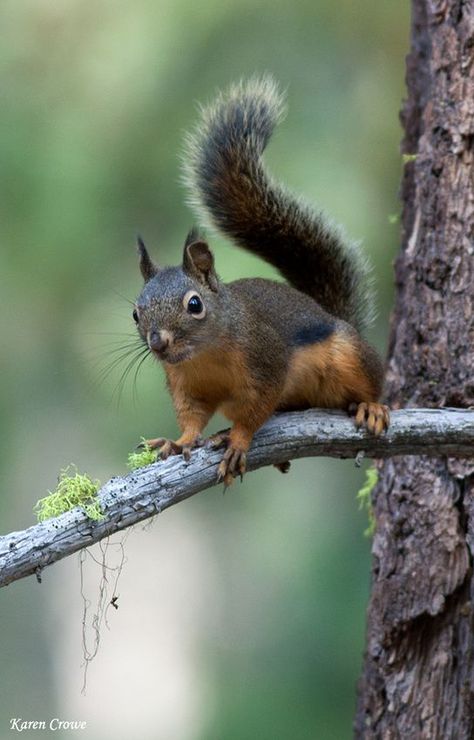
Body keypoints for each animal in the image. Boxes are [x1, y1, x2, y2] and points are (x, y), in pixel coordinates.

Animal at [132, 78, 388, 488]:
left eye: (194, 304)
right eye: (136, 314)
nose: (158, 342)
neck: (205, 356)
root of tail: (334, 315)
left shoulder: (267, 362)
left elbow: (255, 410)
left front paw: (238, 440)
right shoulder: (186, 386)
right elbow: (192, 416)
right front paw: (181, 441)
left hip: (350, 355)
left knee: (373, 384)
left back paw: (372, 406)